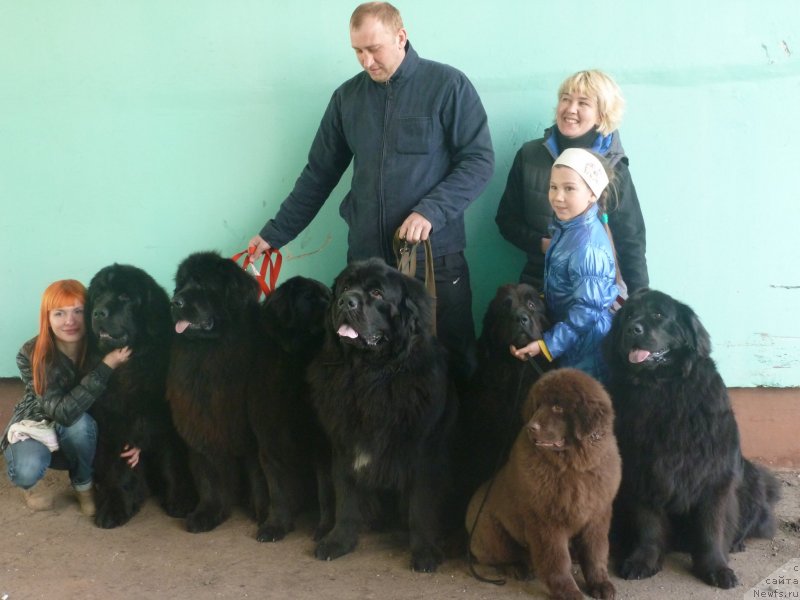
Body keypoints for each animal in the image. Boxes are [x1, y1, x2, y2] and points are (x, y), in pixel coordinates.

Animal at [86, 262, 195, 528]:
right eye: (97, 296)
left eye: (125, 297)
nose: (98, 313)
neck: (132, 367)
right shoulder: (115, 425)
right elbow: (118, 469)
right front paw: (116, 506)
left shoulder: (167, 425)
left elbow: (173, 463)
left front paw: (181, 499)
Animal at [169, 251, 332, 540]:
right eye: (183, 284)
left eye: (202, 284)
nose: (174, 302)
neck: (209, 352)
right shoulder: (204, 425)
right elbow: (210, 477)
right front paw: (207, 514)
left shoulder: (260, 434)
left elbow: (264, 477)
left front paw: (263, 514)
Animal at [306, 256, 456, 572]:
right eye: (345, 287)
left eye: (376, 293)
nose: (346, 302)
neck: (369, 375)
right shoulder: (345, 444)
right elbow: (346, 497)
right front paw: (339, 541)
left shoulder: (423, 451)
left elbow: (421, 505)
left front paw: (425, 552)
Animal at [466, 366, 620, 600]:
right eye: (537, 405)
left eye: (558, 407)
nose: (531, 427)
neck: (574, 467)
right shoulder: (546, 522)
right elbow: (556, 560)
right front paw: (568, 592)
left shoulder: (597, 515)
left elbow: (596, 552)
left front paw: (600, 584)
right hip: (491, 532)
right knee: (500, 557)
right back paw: (516, 568)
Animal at [604, 288, 780, 588]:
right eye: (628, 315)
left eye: (658, 314)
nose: (631, 329)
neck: (663, 391)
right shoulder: (644, 472)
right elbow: (648, 525)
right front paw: (643, 561)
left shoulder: (714, 476)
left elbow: (711, 528)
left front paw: (716, 568)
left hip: (753, 480)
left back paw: (736, 543)